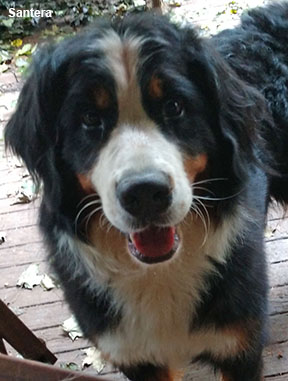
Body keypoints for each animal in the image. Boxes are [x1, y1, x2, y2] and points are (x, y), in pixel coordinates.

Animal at [5, 2, 288, 380]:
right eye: (89, 119)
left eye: (174, 106)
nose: (144, 194)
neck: (159, 275)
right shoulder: (137, 356)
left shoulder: (239, 346)